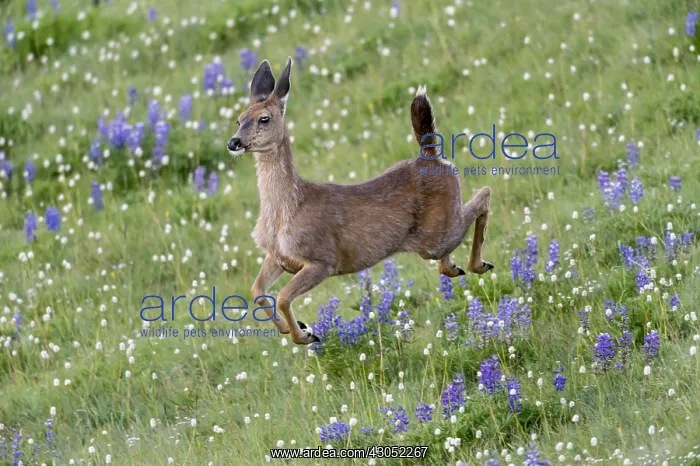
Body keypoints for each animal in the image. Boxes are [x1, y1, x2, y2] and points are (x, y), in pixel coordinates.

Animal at [227, 57, 494, 345]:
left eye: (264, 118)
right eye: (238, 119)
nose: (234, 142)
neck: (286, 209)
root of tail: (432, 156)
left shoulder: (322, 259)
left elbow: (283, 296)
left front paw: (306, 335)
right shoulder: (278, 256)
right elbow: (256, 290)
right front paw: (293, 328)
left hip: (435, 236)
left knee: (484, 194)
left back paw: (479, 264)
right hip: (436, 234)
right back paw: (456, 268)